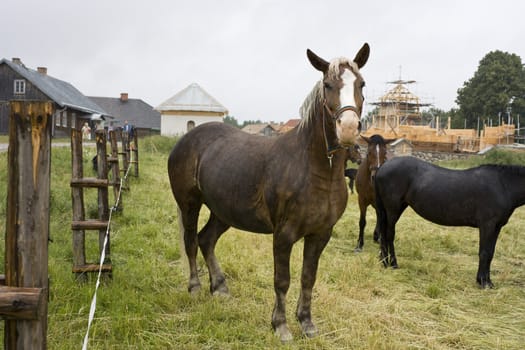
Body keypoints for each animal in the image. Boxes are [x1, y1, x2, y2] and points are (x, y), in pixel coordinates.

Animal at [167, 43, 368, 342]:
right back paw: (195, 287)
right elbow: (282, 280)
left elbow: (308, 277)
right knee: (191, 241)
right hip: (190, 204)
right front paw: (281, 326)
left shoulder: (320, 234)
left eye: (361, 84)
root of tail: (187, 139)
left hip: (223, 211)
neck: (315, 169)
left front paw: (306, 322)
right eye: (328, 85)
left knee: (206, 239)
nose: (348, 128)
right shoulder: (283, 235)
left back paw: (220, 287)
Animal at [374, 157, 524, 288]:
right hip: (392, 209)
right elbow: (484, 252)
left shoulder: (496, 227)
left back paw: (384, 262)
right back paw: (392, 264)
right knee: (389, 235)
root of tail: (382, 166)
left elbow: (490, 253)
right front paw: (483, 282)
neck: (503, 185)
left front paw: (486, 281)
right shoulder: (487, 225)